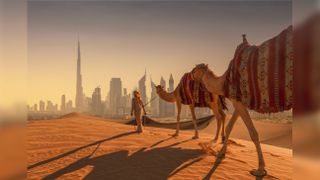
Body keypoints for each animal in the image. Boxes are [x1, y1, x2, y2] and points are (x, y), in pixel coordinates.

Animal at [191, 27, 294, 177]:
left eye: (196, 69)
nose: (190, 74)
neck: (223, 81)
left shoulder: (237, 99)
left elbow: (253, 133)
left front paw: (260, 169)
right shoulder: (239, 101)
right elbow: (229, 127)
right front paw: (221, 153)